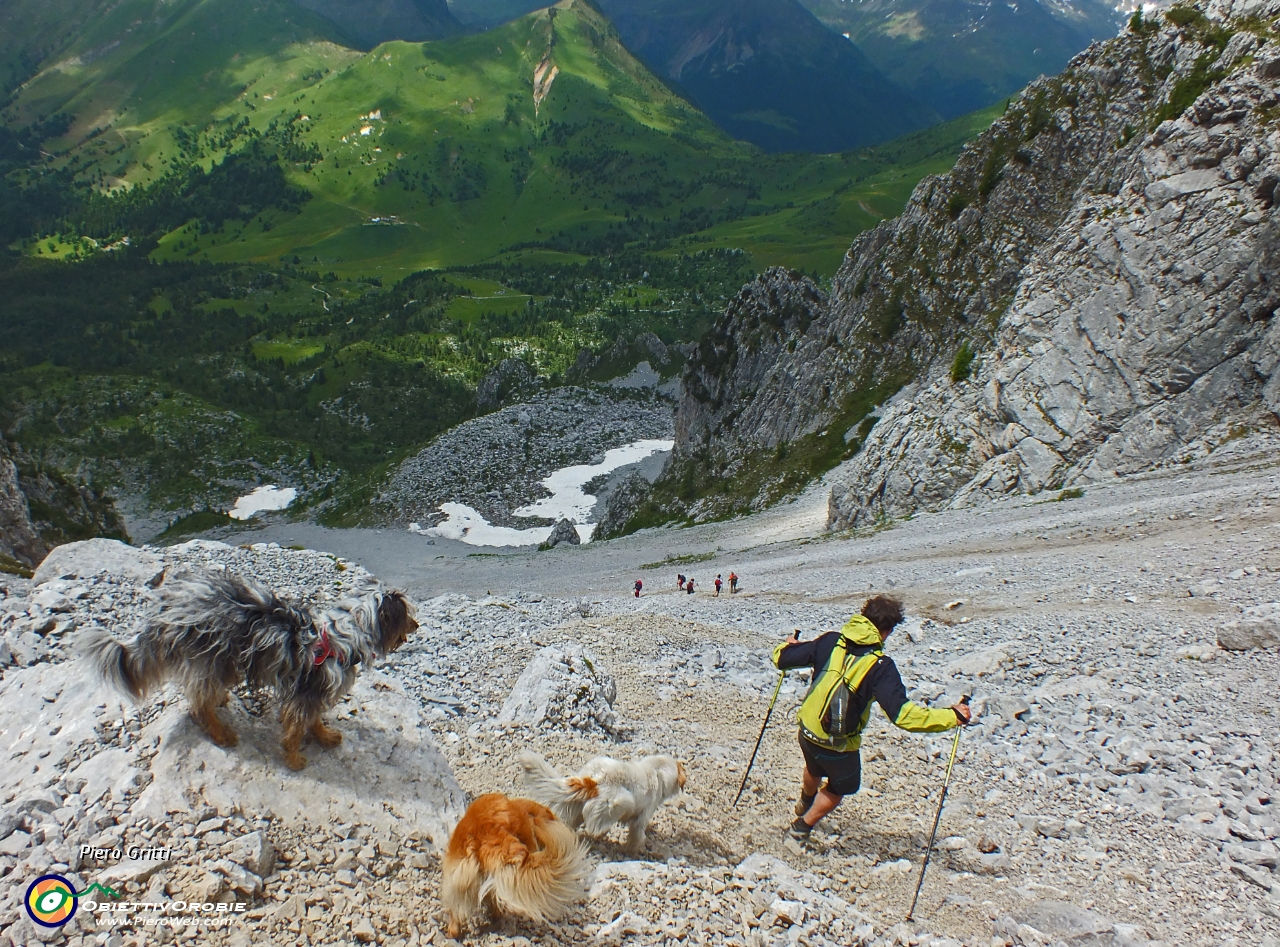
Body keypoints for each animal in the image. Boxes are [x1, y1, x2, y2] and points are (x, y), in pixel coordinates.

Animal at [78, 570, 414, 767]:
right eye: (407, 614)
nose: (417, 625)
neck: (341, 634)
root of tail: (168, 610)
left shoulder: (311, 693)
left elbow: (315, 720)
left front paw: (325, 736)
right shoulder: (305, 694)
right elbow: (296, 728)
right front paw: (294, 757)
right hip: (211, 659)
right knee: (197, 705)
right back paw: (221, 733)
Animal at [514, 752, 686, 854]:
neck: (657, 771)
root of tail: (593, 779)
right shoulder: (642, 815)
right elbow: (637, 835)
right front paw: (634, 851)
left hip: (577, 804)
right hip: (621, 802)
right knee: (593, 829)